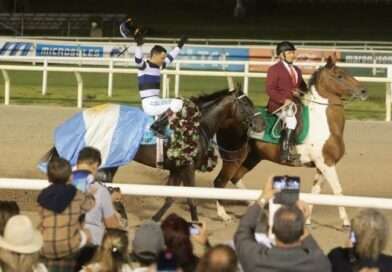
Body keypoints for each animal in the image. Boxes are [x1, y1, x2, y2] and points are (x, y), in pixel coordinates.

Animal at [214, 56, 368, 225]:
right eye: (340, 76)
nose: (363, 91)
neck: (323, 122)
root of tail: (227, 118)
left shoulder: (322, 165)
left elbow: (315, 192)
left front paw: (307, 220)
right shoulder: (326, 163)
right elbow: (338, 190)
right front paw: (346, 222)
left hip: (253, 157)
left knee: (235, 178)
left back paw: (254, 206)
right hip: (233, 159)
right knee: (220, 182)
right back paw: (223, 215)